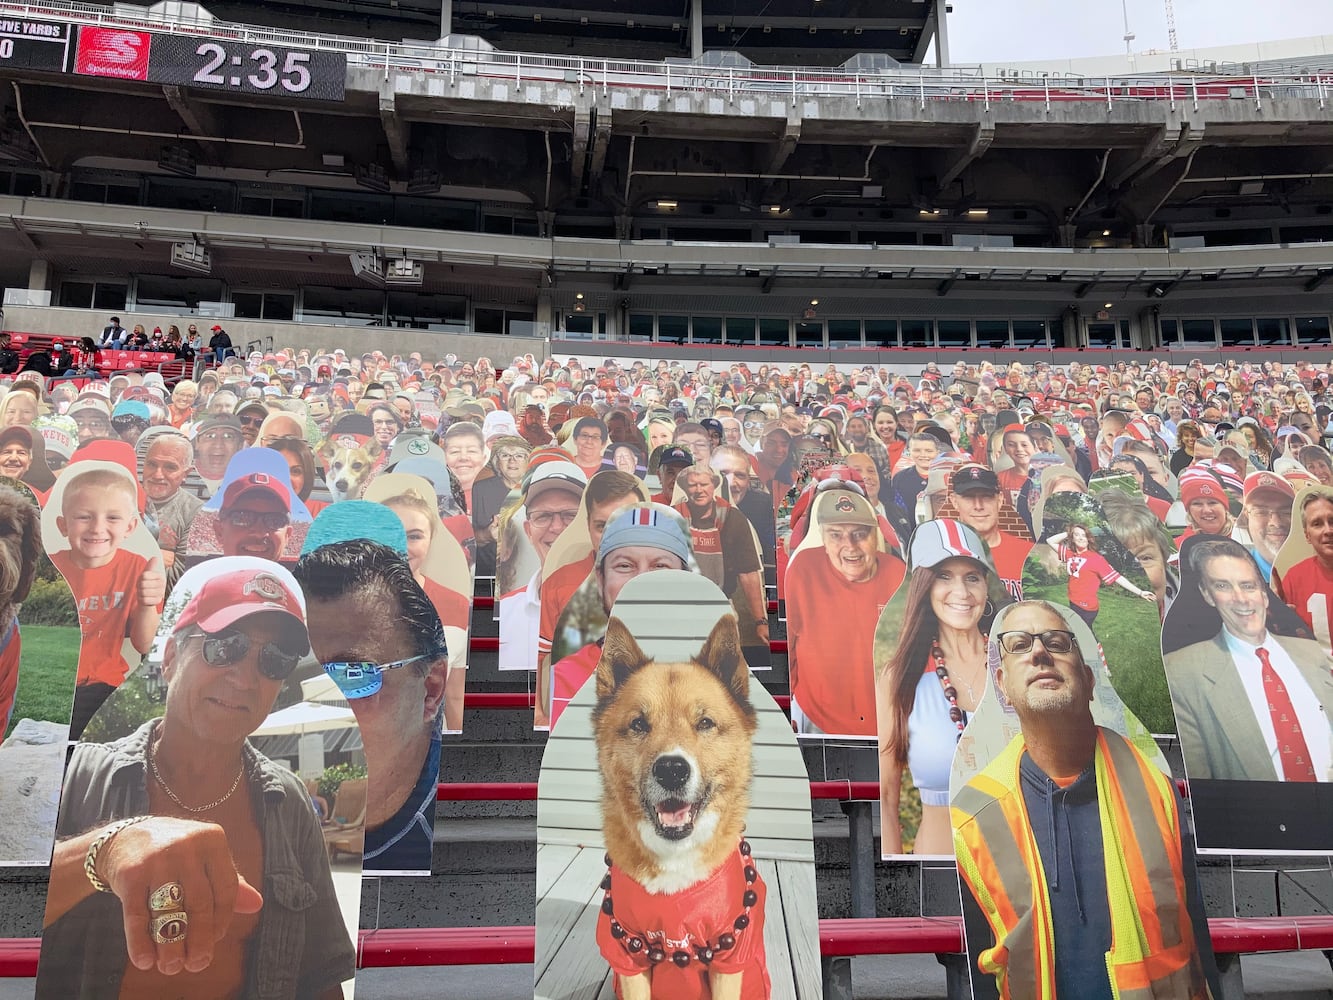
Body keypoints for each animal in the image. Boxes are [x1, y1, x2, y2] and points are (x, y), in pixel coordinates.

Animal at [597, 616, 773, 997]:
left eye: (705, 723)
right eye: (639, 724)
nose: (672, 770)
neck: (674, 857)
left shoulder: (731, 955)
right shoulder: (626, 954)